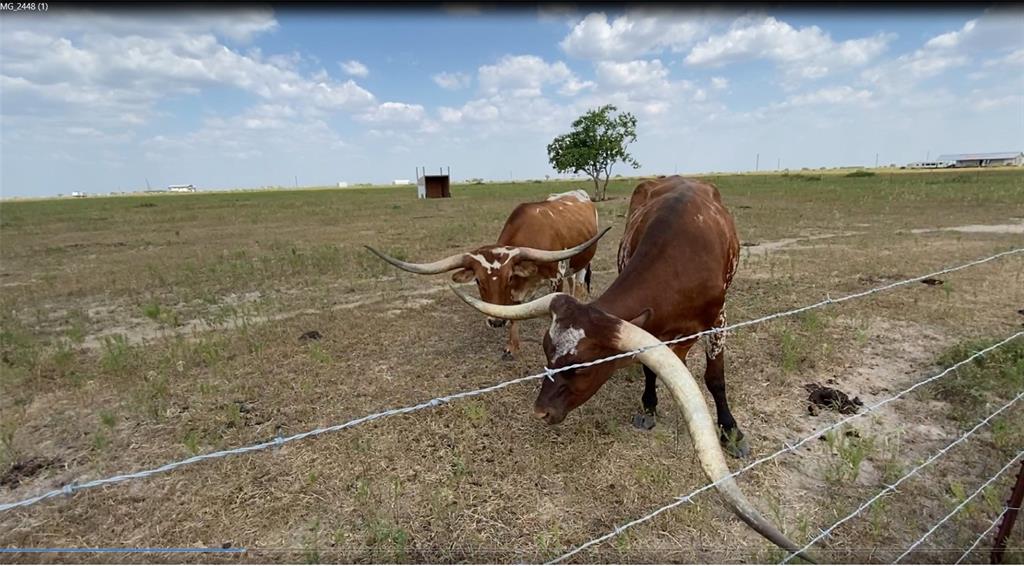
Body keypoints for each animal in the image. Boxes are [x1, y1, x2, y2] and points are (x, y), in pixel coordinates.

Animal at [368, 189, 606, 358]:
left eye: (507, 277)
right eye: (477, 281)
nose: (495, 322)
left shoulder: (555, 278)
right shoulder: (516, 291)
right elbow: (515, 313)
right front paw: (511, 346)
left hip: (583, 263)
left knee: (578, 284)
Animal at [452, 176, 819, 560]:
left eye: (582, 367)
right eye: (547, 354)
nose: (540, 411)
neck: (683, 257)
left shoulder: (718, 320)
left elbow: (715, 378)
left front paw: (731, 432)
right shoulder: (656, 328)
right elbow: (650, 370)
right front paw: (649, 407)